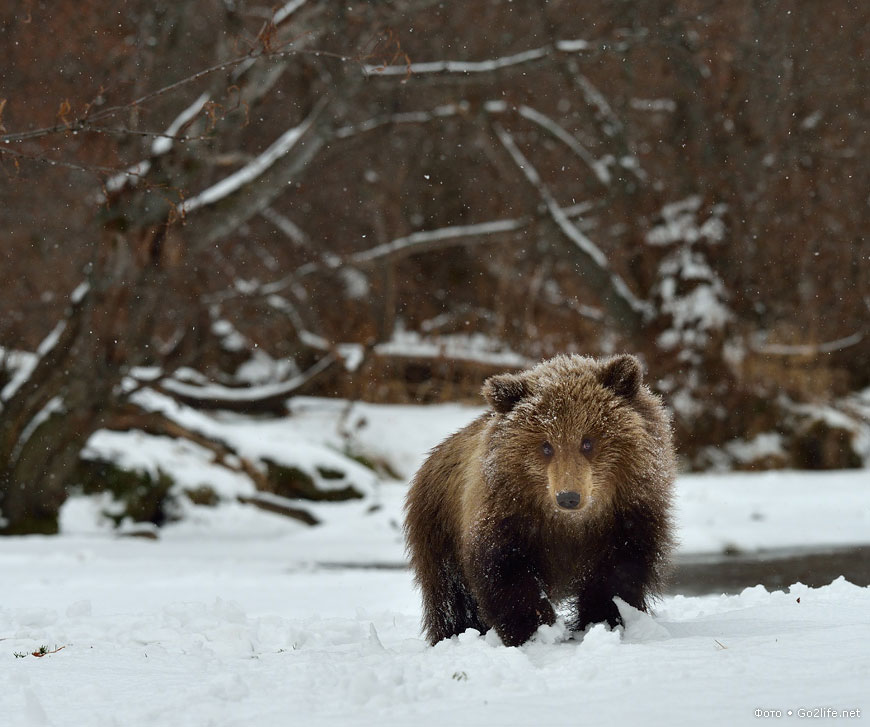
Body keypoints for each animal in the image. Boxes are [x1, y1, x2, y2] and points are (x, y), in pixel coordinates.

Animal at [406, 356, 676, 644]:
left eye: (587, 441)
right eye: (546, 446)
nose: (568, 497)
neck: (570, 524)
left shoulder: (626, 517)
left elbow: (618, 573)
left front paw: (604, 620)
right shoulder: (507, 518)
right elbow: (508, 575)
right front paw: (533, 630)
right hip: (438, 531)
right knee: (451, 598)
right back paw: (453, 634)